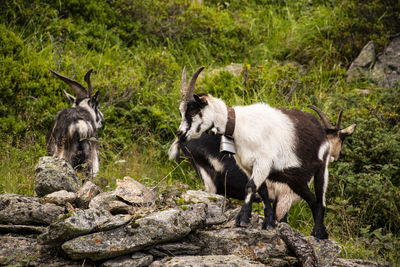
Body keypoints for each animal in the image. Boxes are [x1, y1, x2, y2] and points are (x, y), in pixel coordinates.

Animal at [173, 66, 342, 240]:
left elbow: (251, 187)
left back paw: (318, 232)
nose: (180, 133)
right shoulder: (250, 167)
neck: (239, 125)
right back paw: (321, 233)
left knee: (320, 198)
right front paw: (268, 223)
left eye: (193, 112)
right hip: (294, 179)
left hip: (321, 167)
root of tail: (319, 128)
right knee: (312, 199)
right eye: (181, 112)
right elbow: (262, 191)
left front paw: (243, 220)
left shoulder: (263, 163)